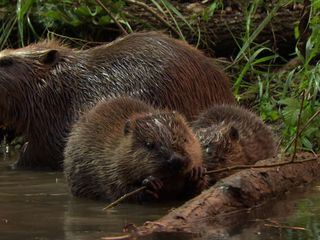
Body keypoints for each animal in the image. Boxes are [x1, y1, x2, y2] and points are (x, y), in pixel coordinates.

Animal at [64, 96, 208, 202]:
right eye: (149, 144)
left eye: (184, 139)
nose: (176, 160)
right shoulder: (107, 164)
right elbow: (120, 190)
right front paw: (150, 183)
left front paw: (197, 173)